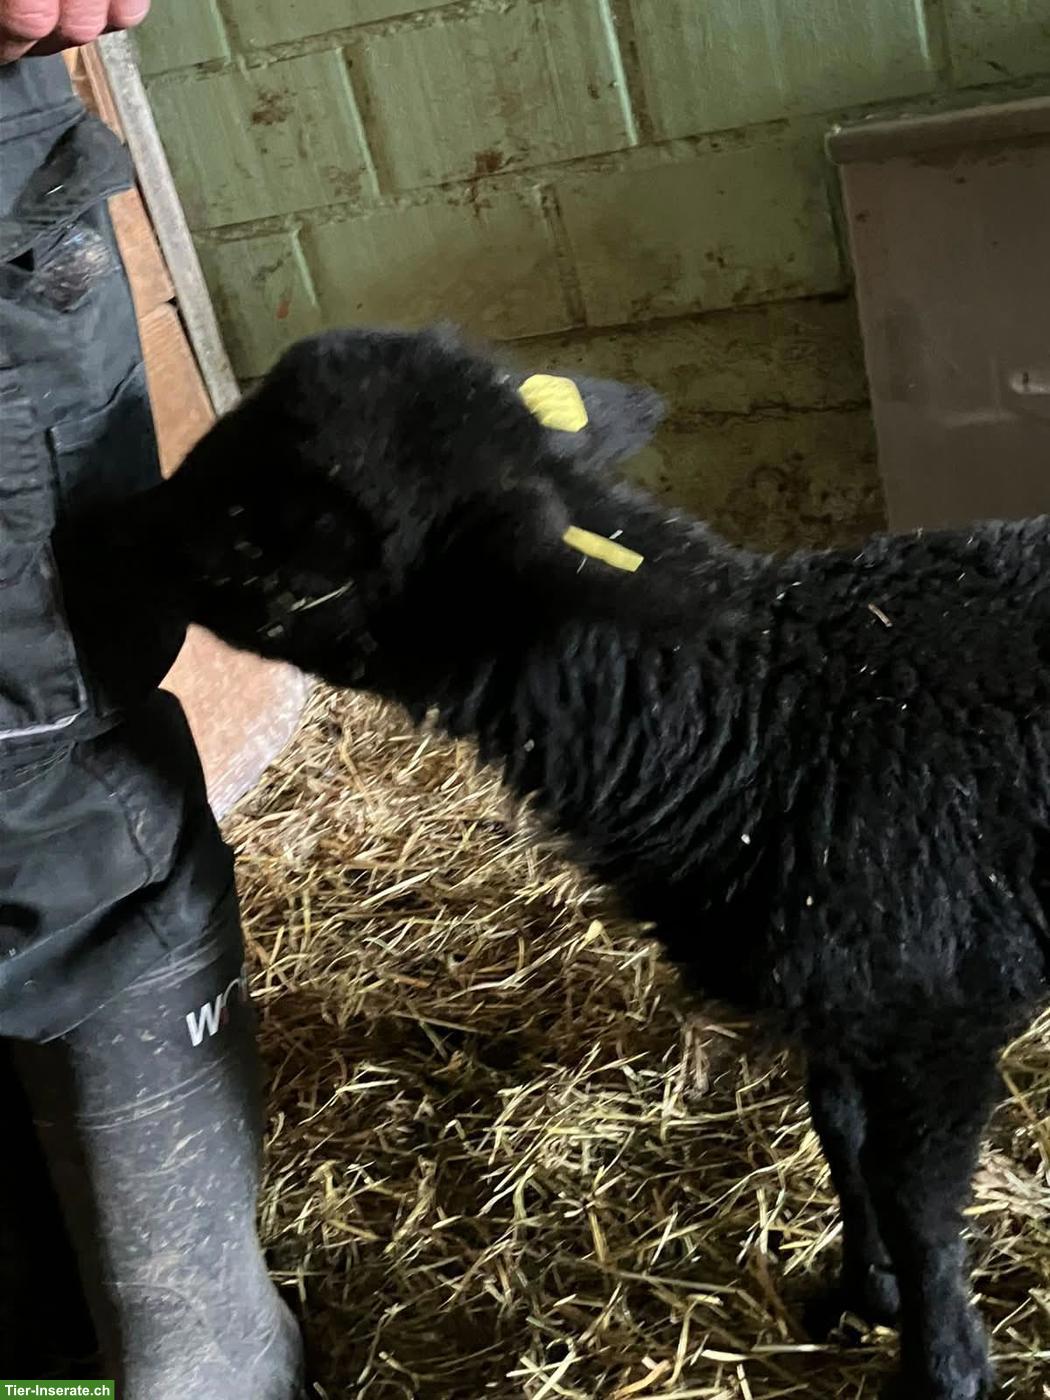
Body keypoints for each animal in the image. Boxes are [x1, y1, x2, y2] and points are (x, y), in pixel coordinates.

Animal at [131, 326, 1050, 1399]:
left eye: (302, 514)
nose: (109, 525)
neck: (768, 723)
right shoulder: (834, 998)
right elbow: (840, 1136)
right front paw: (865, 1291)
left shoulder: (940, 1013)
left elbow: (917, 1204)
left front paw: (943, 1362)